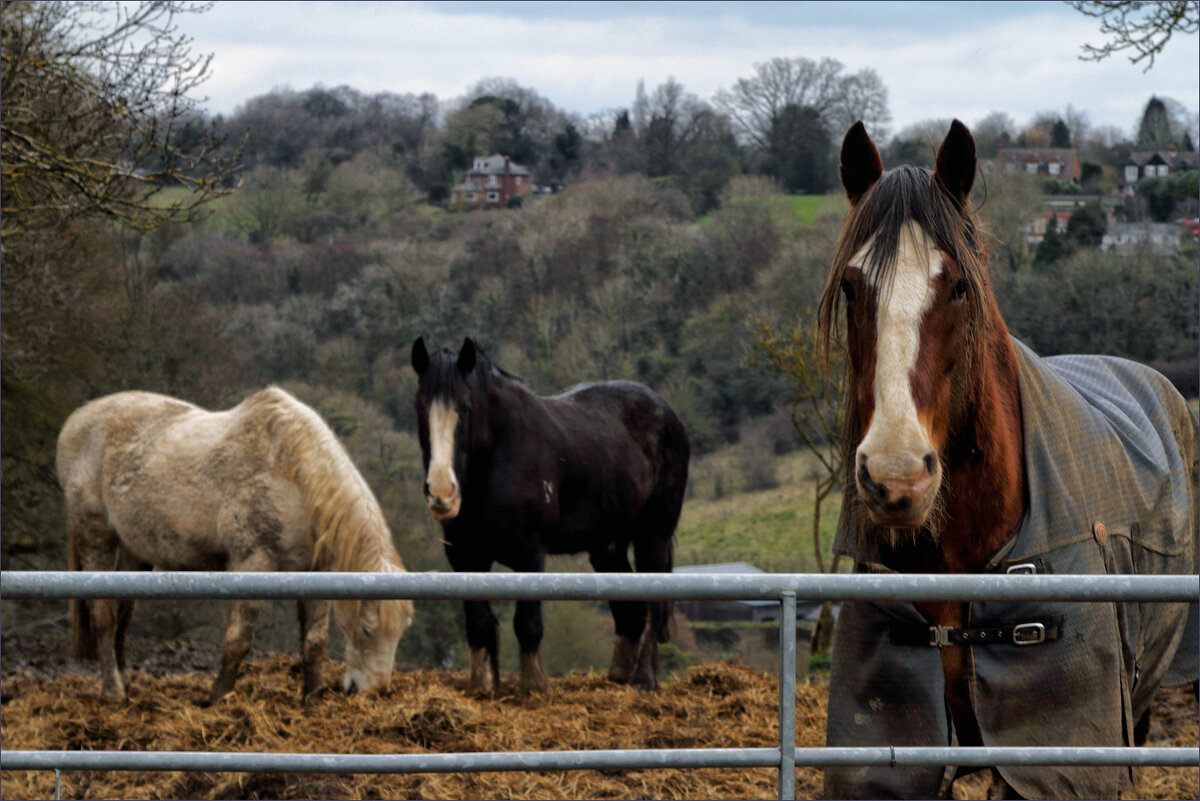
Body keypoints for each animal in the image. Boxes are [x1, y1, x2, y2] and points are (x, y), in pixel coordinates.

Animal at [410, 338, 686, 695]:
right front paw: (483, 685)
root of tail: (666, 411)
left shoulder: (530, 553)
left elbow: (527, 623)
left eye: (466, 408)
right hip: (607, 546)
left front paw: (534, 685)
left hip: (653, 535)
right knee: (630, 610)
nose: (442, 493)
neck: (500, 451)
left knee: (652, 604)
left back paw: (644, 679)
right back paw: (619, 675)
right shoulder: (464, 556)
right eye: (420, 408)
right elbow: (479, 624)